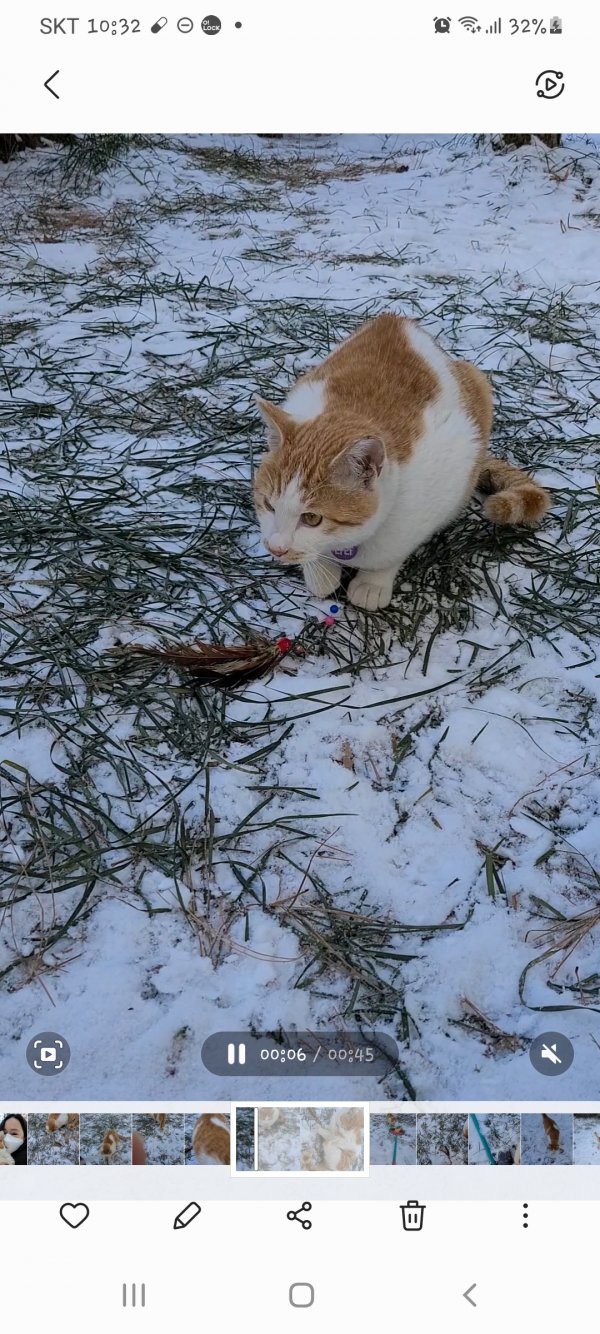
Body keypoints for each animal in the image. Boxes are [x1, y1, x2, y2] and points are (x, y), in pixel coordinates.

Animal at [253, 312, 549, 610]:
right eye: (268, 505)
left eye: (312, 518)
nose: (275, 548)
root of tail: (395, 318)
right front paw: (321, 572)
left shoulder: (445, 479)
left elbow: (393, 552)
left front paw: (372, 583)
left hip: (478, 385)